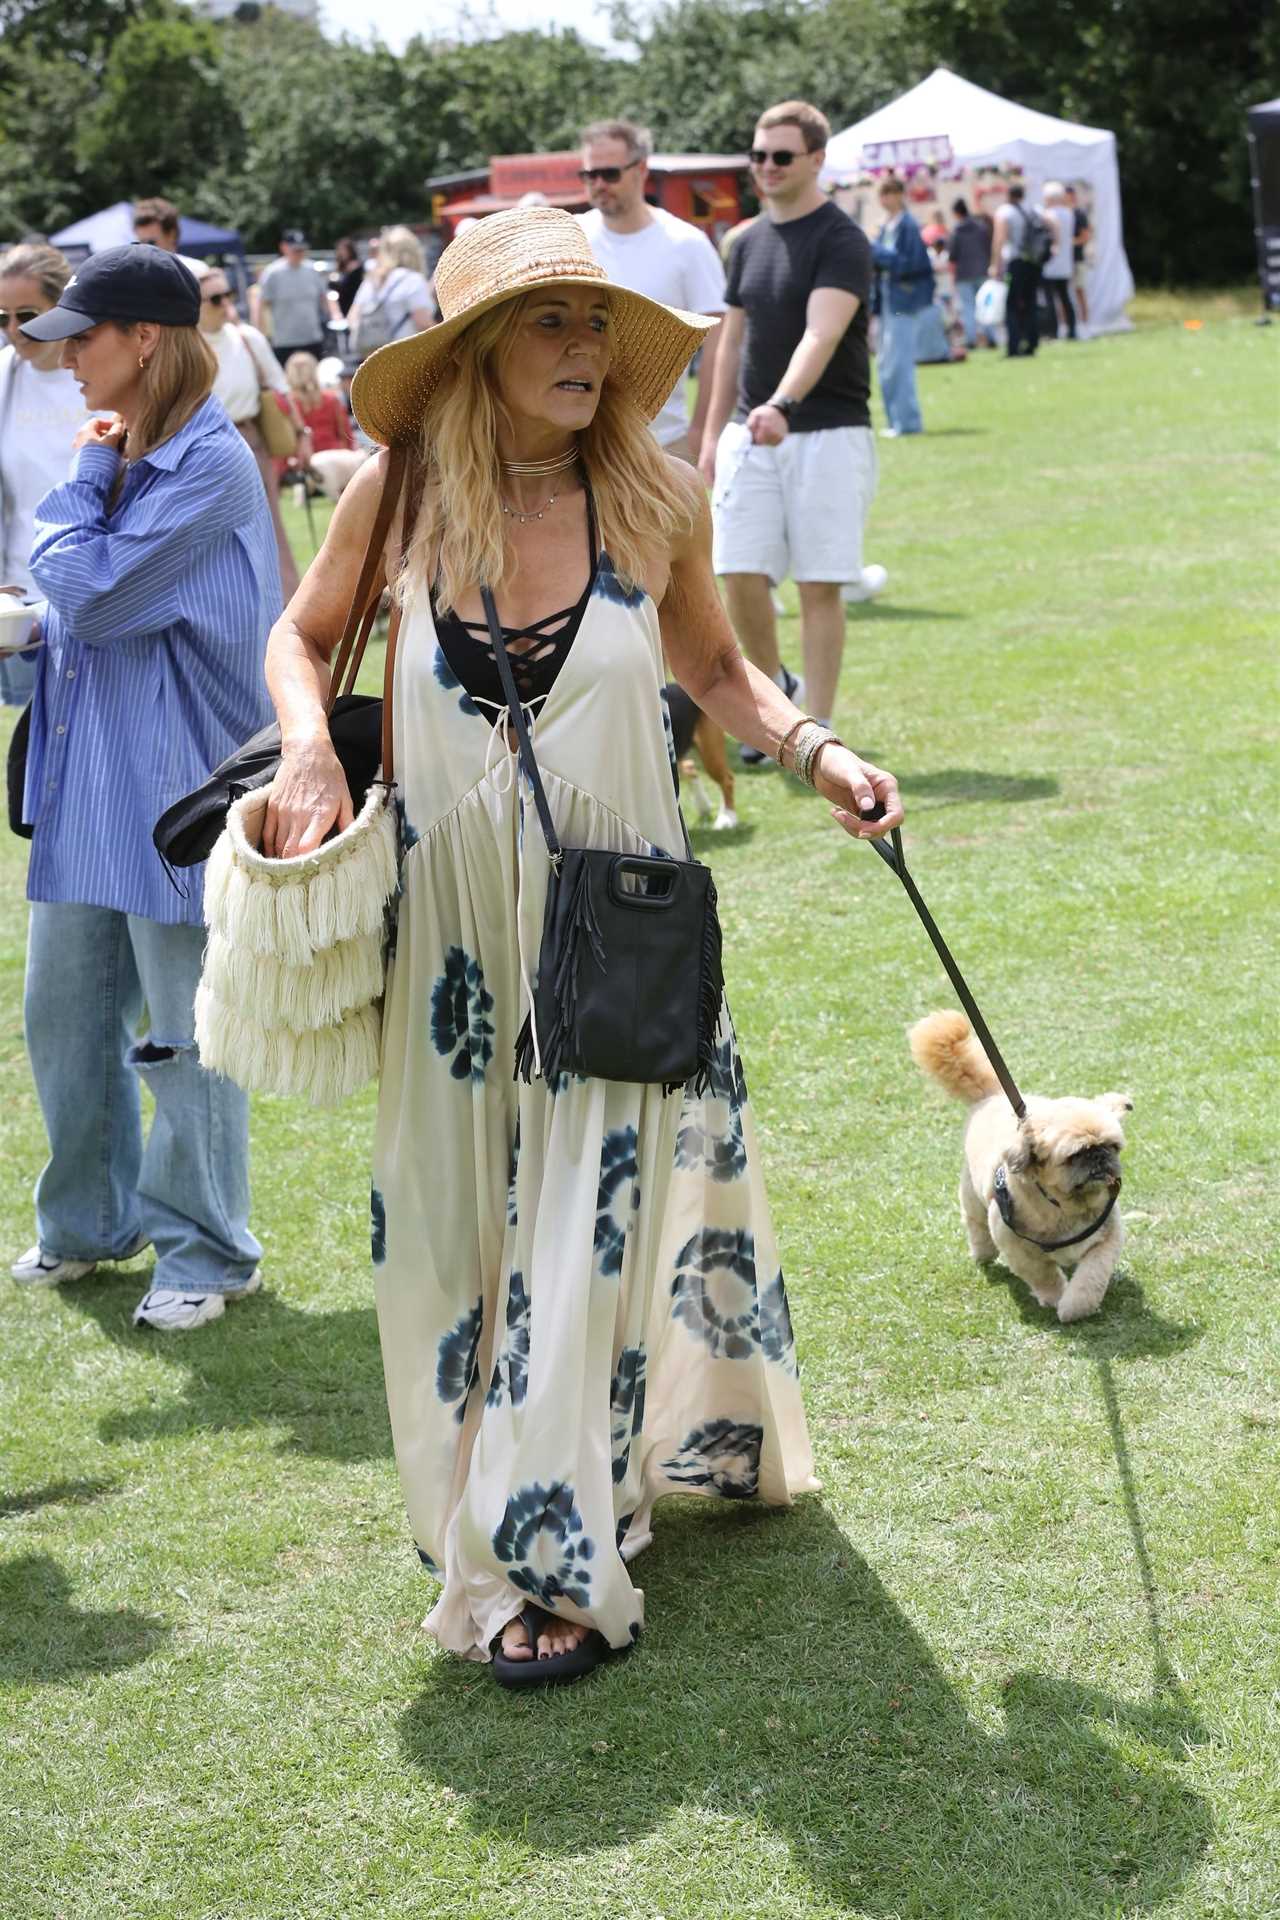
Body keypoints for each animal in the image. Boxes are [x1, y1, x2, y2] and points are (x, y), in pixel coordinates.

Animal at [909, 1013, 1128, 1328]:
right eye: (1075, 1155)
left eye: (1112, 1146)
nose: (1099, 1156)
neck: (1064, 1206)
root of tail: (991, 1097)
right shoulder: (1015, 1245)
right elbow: (1043, 1274)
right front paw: (1055, 1298)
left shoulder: (1108, 1238)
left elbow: (1092, 1277)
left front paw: (1076, 1307)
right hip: (973, 1199)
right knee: (975, 1225)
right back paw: (982, 1252)